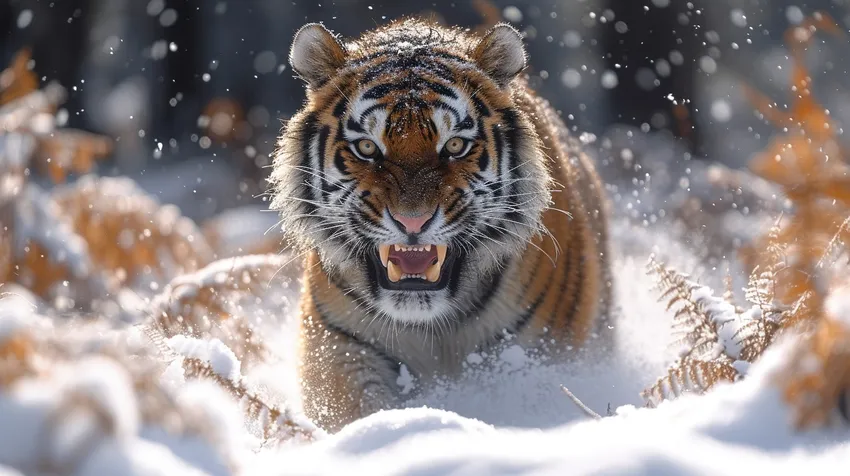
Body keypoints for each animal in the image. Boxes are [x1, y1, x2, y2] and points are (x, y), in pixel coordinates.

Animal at [270, 18, 613, 432]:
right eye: (366, 148)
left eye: (454, 146)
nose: (411, 219)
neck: (431, 327)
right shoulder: (341, 348)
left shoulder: (538, 353)